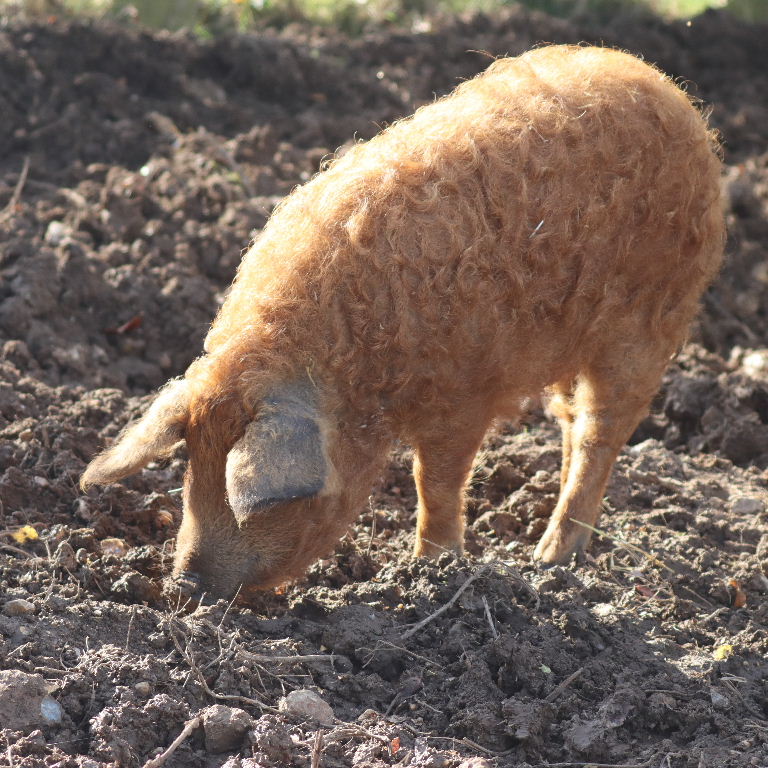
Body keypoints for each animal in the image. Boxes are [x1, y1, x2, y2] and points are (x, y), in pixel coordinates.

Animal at [82, 45, 724, 599]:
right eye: (191, 468)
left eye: (255, 499)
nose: (182, 587)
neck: (351, 362)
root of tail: (670, 91)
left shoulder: (464, 397)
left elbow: (435, 485)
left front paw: (430, 569)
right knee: (571, 425)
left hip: (652, 318)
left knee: (600, 433)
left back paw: (550, 561)